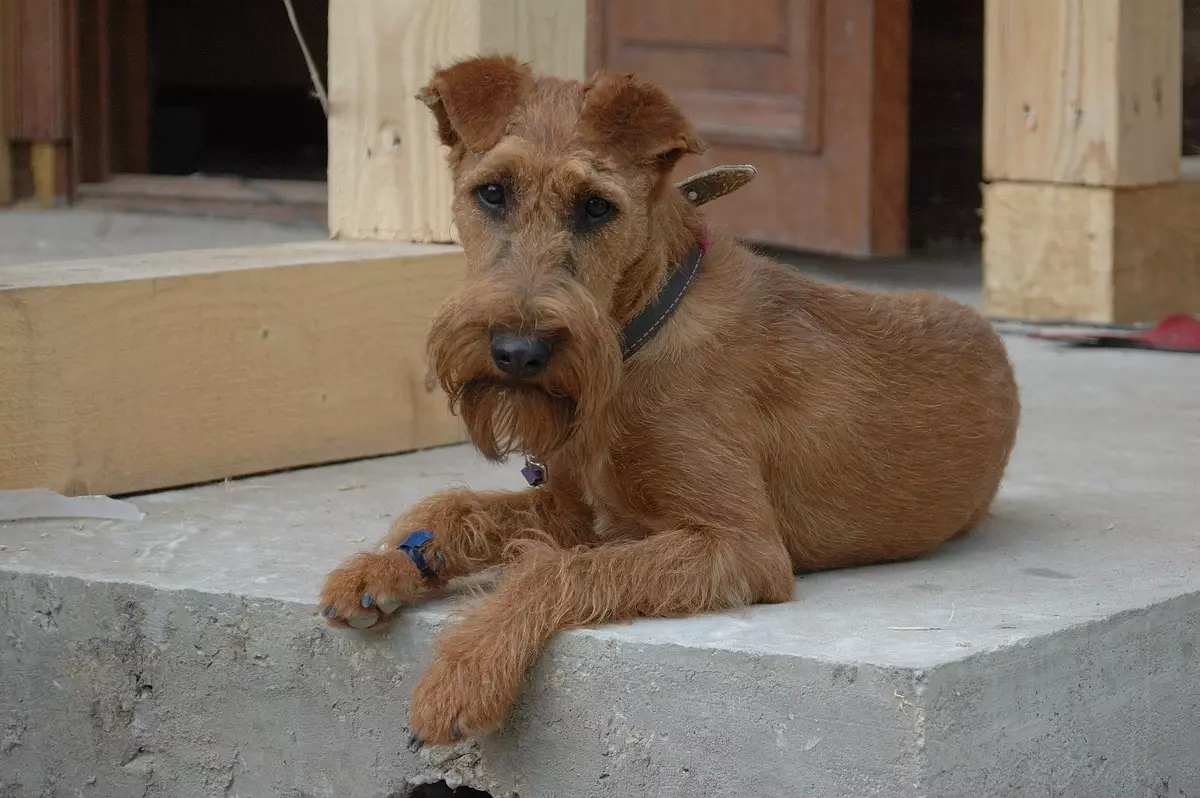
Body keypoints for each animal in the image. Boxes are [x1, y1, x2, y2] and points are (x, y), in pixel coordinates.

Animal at [316, 54, 1012, 748]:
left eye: (597, 208)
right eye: (492, 192)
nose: (518, 351)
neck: (636, 336)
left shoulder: (740, 546)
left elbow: (556, 569)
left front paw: (466, 668)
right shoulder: (575, 510)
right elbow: (449, 506)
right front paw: (385, 567)